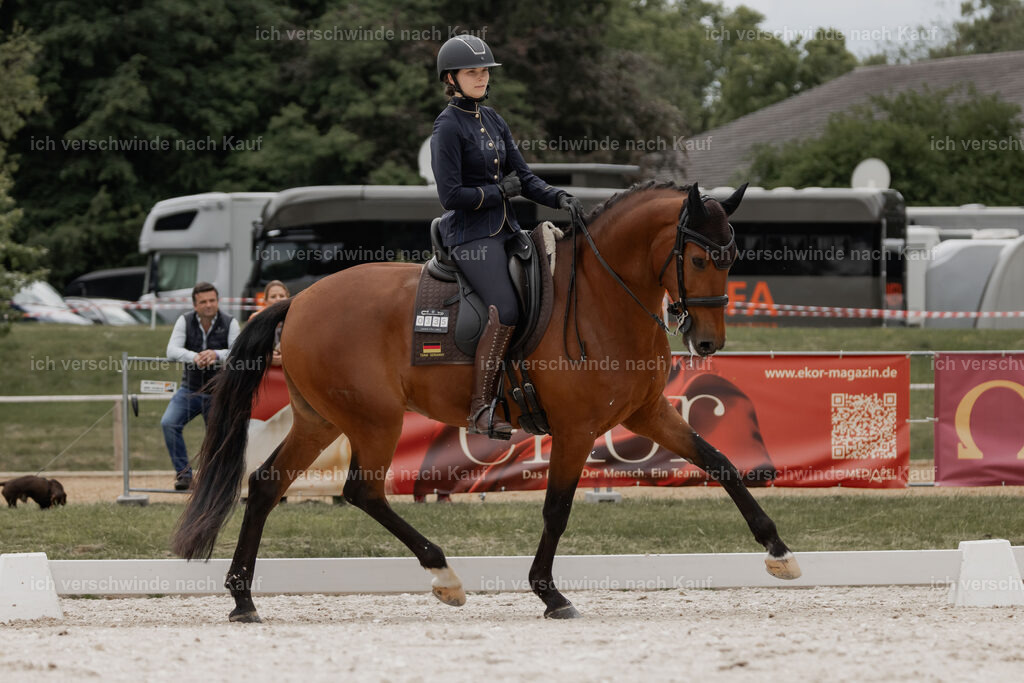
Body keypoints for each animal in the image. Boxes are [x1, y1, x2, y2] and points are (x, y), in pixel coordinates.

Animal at [171, 181, 802, 622]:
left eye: (731, 258)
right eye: (697, 259)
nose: (708, 342)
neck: (603, 297)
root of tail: (297, 302)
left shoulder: (649, 414)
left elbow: (719, 463)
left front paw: (778, 550)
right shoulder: (575, 429)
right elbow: (557, 509)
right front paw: (550, 594)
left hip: (321, 419)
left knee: (265, 486)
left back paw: (243, 598)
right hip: (375, 419)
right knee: (362, 491)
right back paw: (444, 575)